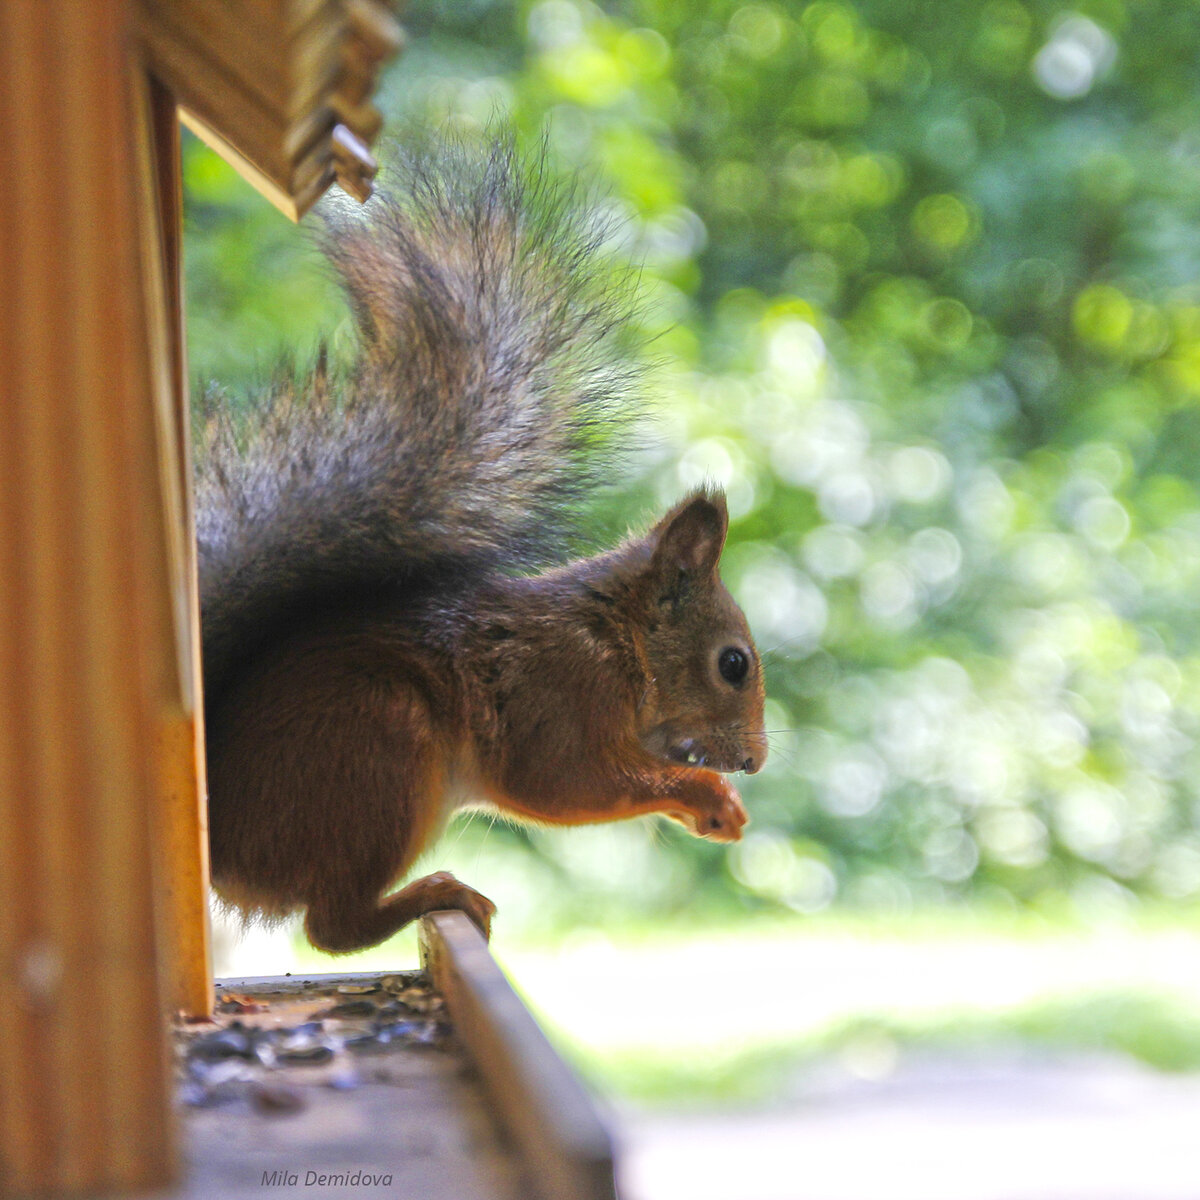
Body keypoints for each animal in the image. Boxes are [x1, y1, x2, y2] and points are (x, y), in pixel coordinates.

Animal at [192, 136, 763, 950]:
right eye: (733, 664)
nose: (752, 761)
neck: (616, 640)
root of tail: (223, 845)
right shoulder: (553, 700)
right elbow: (565, 782)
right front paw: (704, 797)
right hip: (379, 748)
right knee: (332, 926)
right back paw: (438, 893)